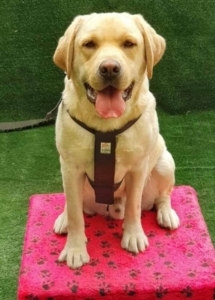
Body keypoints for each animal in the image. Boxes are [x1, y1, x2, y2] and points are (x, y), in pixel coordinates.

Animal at [52, 11, 180, 270]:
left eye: (129, 44)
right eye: (89, 44)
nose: (109, 68)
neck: (106, 125)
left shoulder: (138, 168)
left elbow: (133, 206)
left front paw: (133, 236)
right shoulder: (70, 168)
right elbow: (75, 215)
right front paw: (75, 249)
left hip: (164, 162)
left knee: (163, 196)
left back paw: (166, 214)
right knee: (72, 204)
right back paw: (63, 219)